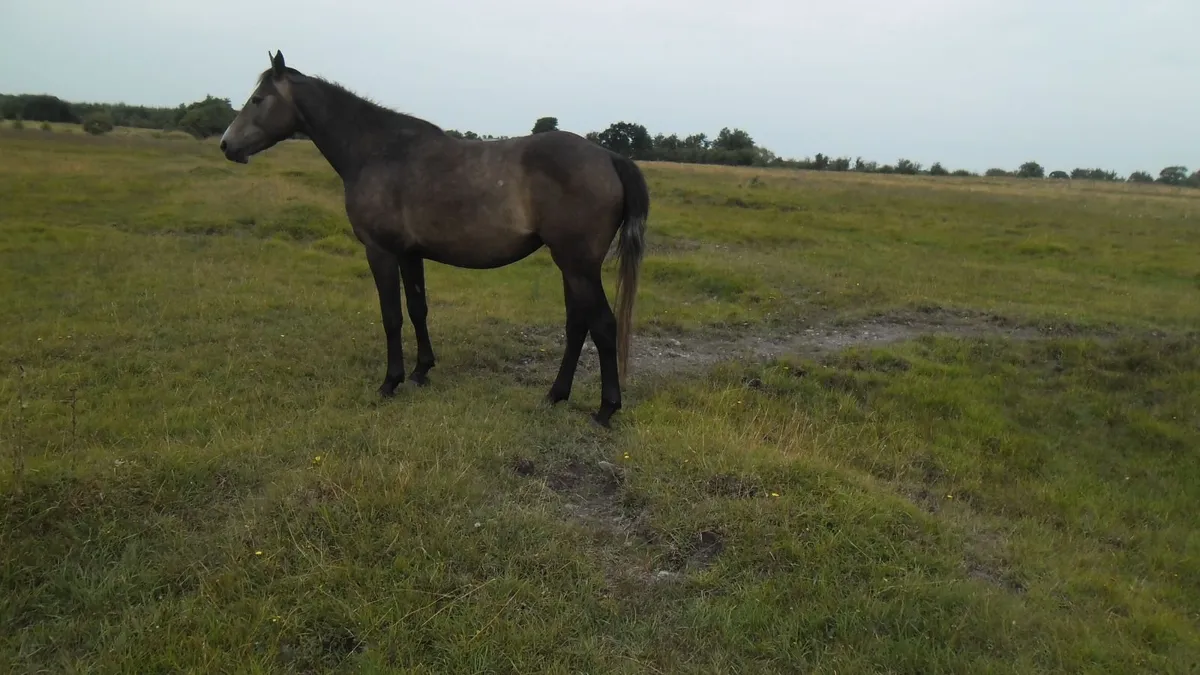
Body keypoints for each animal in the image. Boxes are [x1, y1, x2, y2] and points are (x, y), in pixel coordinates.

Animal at [218, 51, 649, 427]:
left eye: (257, 99)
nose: (226, 144)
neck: (378, 152)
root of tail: (609, 157)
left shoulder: (380, 251)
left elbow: (391, 315)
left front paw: (390, 381)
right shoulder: (411, 254)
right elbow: (417, 309)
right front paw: (421, 371)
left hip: (578, 265)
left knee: (603, 326)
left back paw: (606, 410)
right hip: (571, 266)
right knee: (577, 325)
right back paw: (555, 395)